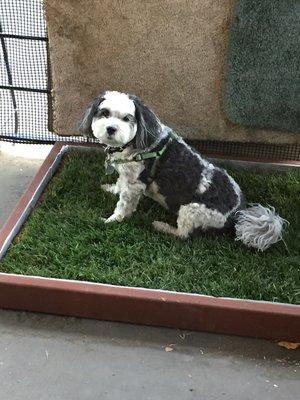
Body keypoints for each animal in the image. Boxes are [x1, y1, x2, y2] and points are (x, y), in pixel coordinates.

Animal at [78, 92, 288, 252]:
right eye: (104, 113)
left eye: (127, 118)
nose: (111, 128)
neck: (136, 142)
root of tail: (238, 212)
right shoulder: (126, 175)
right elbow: (119, 185)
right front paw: (110, 189)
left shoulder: (134, 184)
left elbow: (123, 205)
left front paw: (112, 220)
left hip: (191, 209)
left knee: (183, 234)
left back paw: (162, 227)